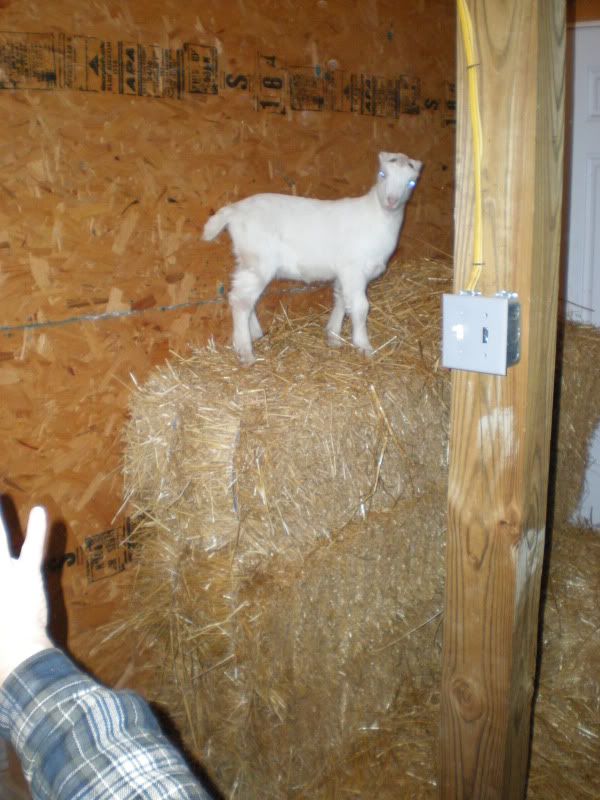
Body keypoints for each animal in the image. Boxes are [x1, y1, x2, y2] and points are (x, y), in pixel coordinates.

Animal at [202, 151, 422, 364]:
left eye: (412, 182)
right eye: (383, 174)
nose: (392, 201)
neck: (379, 216)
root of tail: (234, 211)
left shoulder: (344, 271)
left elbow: (341, 298)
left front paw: (334, 336)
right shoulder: (353, 269)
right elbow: (360, 307)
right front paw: (364, 346)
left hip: (248, 259)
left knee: (243, 297)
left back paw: (253, 333)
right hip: (259, 259)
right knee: (241, 300)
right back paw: (246, 352)